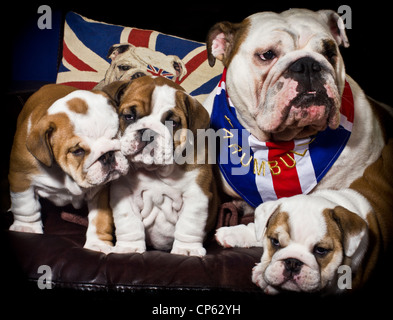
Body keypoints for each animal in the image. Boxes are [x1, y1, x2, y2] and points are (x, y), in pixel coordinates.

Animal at [8, 84, 129, 254]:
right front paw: (26, 228)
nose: (107, 155)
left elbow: (100, 218)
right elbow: (26, 206)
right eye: (78, 151)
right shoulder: (21, 177)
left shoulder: (100, 191)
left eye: (116, 136)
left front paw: (97, 244)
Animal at [104, 76, 217, 256]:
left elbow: (189, 225)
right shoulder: (122, 193)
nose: (148, 131)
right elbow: (129, 223)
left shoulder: (196, 195)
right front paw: (129, 247)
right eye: (129, 116)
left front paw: (186, 249)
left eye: (172, 123)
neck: (155, 170)